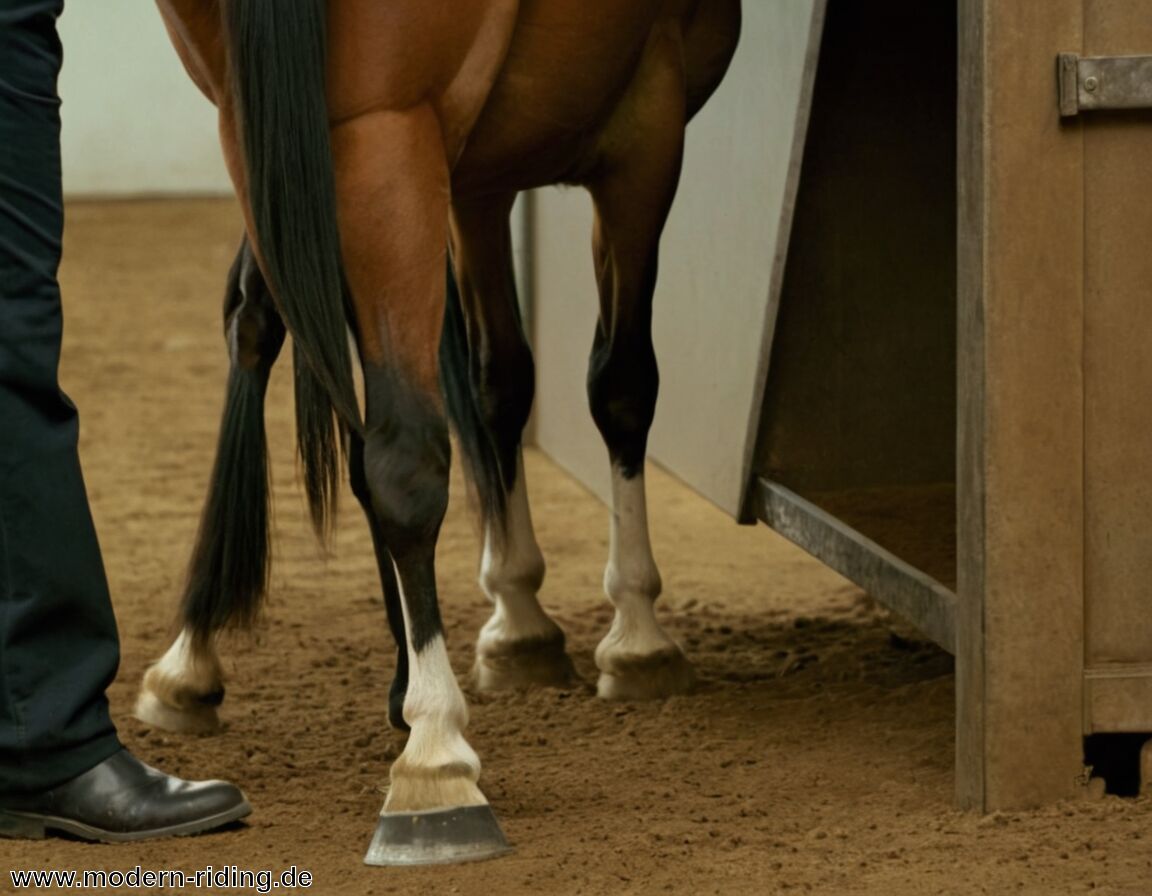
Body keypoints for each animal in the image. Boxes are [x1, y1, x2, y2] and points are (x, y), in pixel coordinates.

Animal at [134, 0, 741, 865]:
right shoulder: (646, 119)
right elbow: (619, 383)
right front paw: (634, 630)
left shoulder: (466, 173)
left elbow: (496, 382)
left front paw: (518, 619)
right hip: (380, 139)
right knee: (403, 453)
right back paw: (435, 756)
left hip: (287, 134)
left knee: (283, 346)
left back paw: (201, 658)